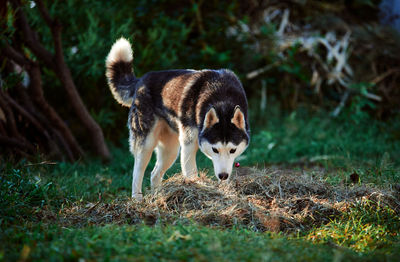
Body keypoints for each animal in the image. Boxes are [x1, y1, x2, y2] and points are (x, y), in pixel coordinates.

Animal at [106, 37, 250, 200]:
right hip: (146, 144)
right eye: (215, 149)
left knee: (154, 174)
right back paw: (137, 199)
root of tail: (141, 80)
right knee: (137, 173)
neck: (222, 98)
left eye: (233, 150)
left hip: (170, 150)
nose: (223, 175)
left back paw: (158, 197)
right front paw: (195, 188)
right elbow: (191, 172)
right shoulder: (189, 145)